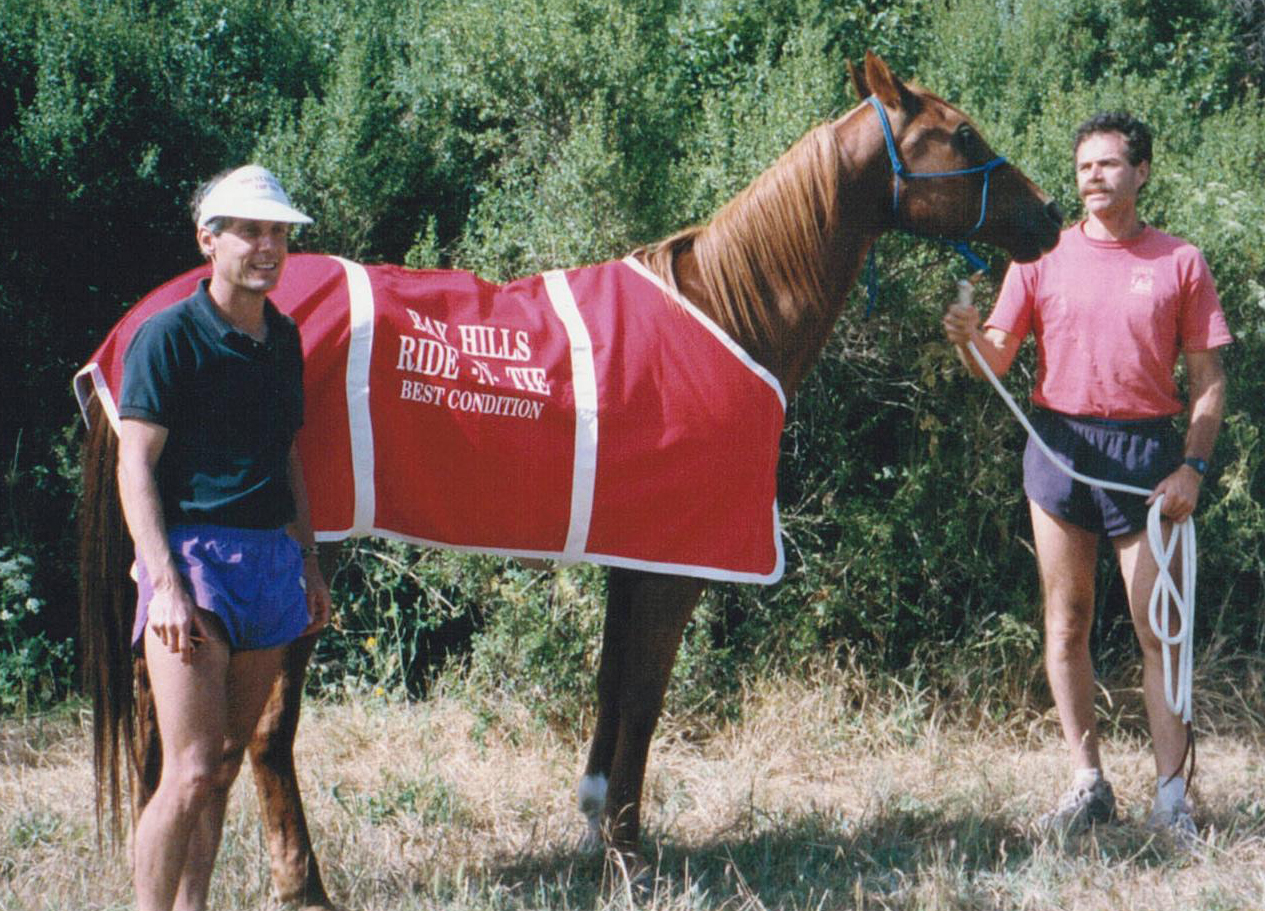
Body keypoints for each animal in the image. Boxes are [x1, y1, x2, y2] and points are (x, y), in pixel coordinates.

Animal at [79, 51, 1062, 905]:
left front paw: (599, 831)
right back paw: (304, 886)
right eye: (961, 134)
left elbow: (613, 693)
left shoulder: (637, 555)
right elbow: (644, 702)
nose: (1048, 219)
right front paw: (629, 854)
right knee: (266, 735)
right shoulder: (673, 566)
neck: (728, 311)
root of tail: (141, 330)